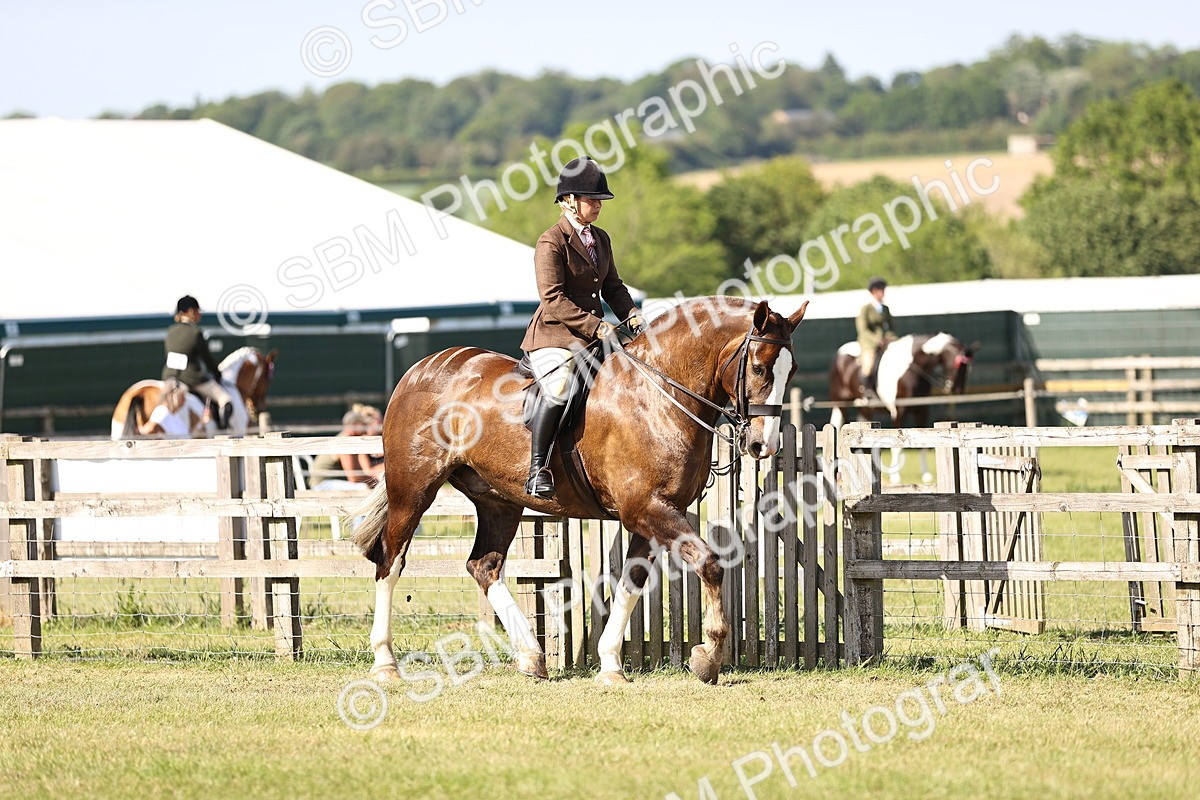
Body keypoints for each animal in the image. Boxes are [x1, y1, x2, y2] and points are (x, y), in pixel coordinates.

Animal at [350, 297, 808, 686]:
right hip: (413, 490)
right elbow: (709, 563)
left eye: (792, 370)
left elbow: (631, 582)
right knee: (390, 562)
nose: (763, 446)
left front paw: (610, 665)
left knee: (484, 567)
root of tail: (423, 367)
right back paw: (385, 663)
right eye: (760, 367)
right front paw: (708, 655)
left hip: (498, 502)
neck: (660, 394)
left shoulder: (655, 514)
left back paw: (531, 657)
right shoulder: (647, 508)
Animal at [828, 333, 978, 481]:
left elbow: (923, 442)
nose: (957, 389)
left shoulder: (921, 409)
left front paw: (926, 475)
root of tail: (840, 352)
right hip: (841, 403)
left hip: (865, 408)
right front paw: (895, 477)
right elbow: (896, 443)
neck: (913, 365)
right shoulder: (900, 410)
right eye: (959, 365)